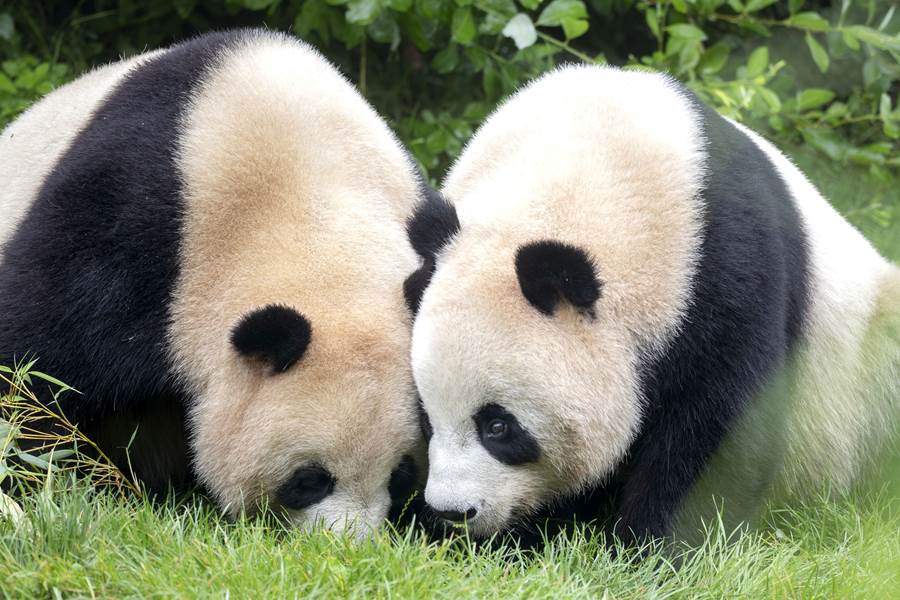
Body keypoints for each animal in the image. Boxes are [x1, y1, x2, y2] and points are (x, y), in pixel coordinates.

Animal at [405, 65, 900, 543]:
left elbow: (720, 427)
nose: (453, 513)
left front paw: (652, 547)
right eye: (427, 419)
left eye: (498, 426)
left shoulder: (725, 270)